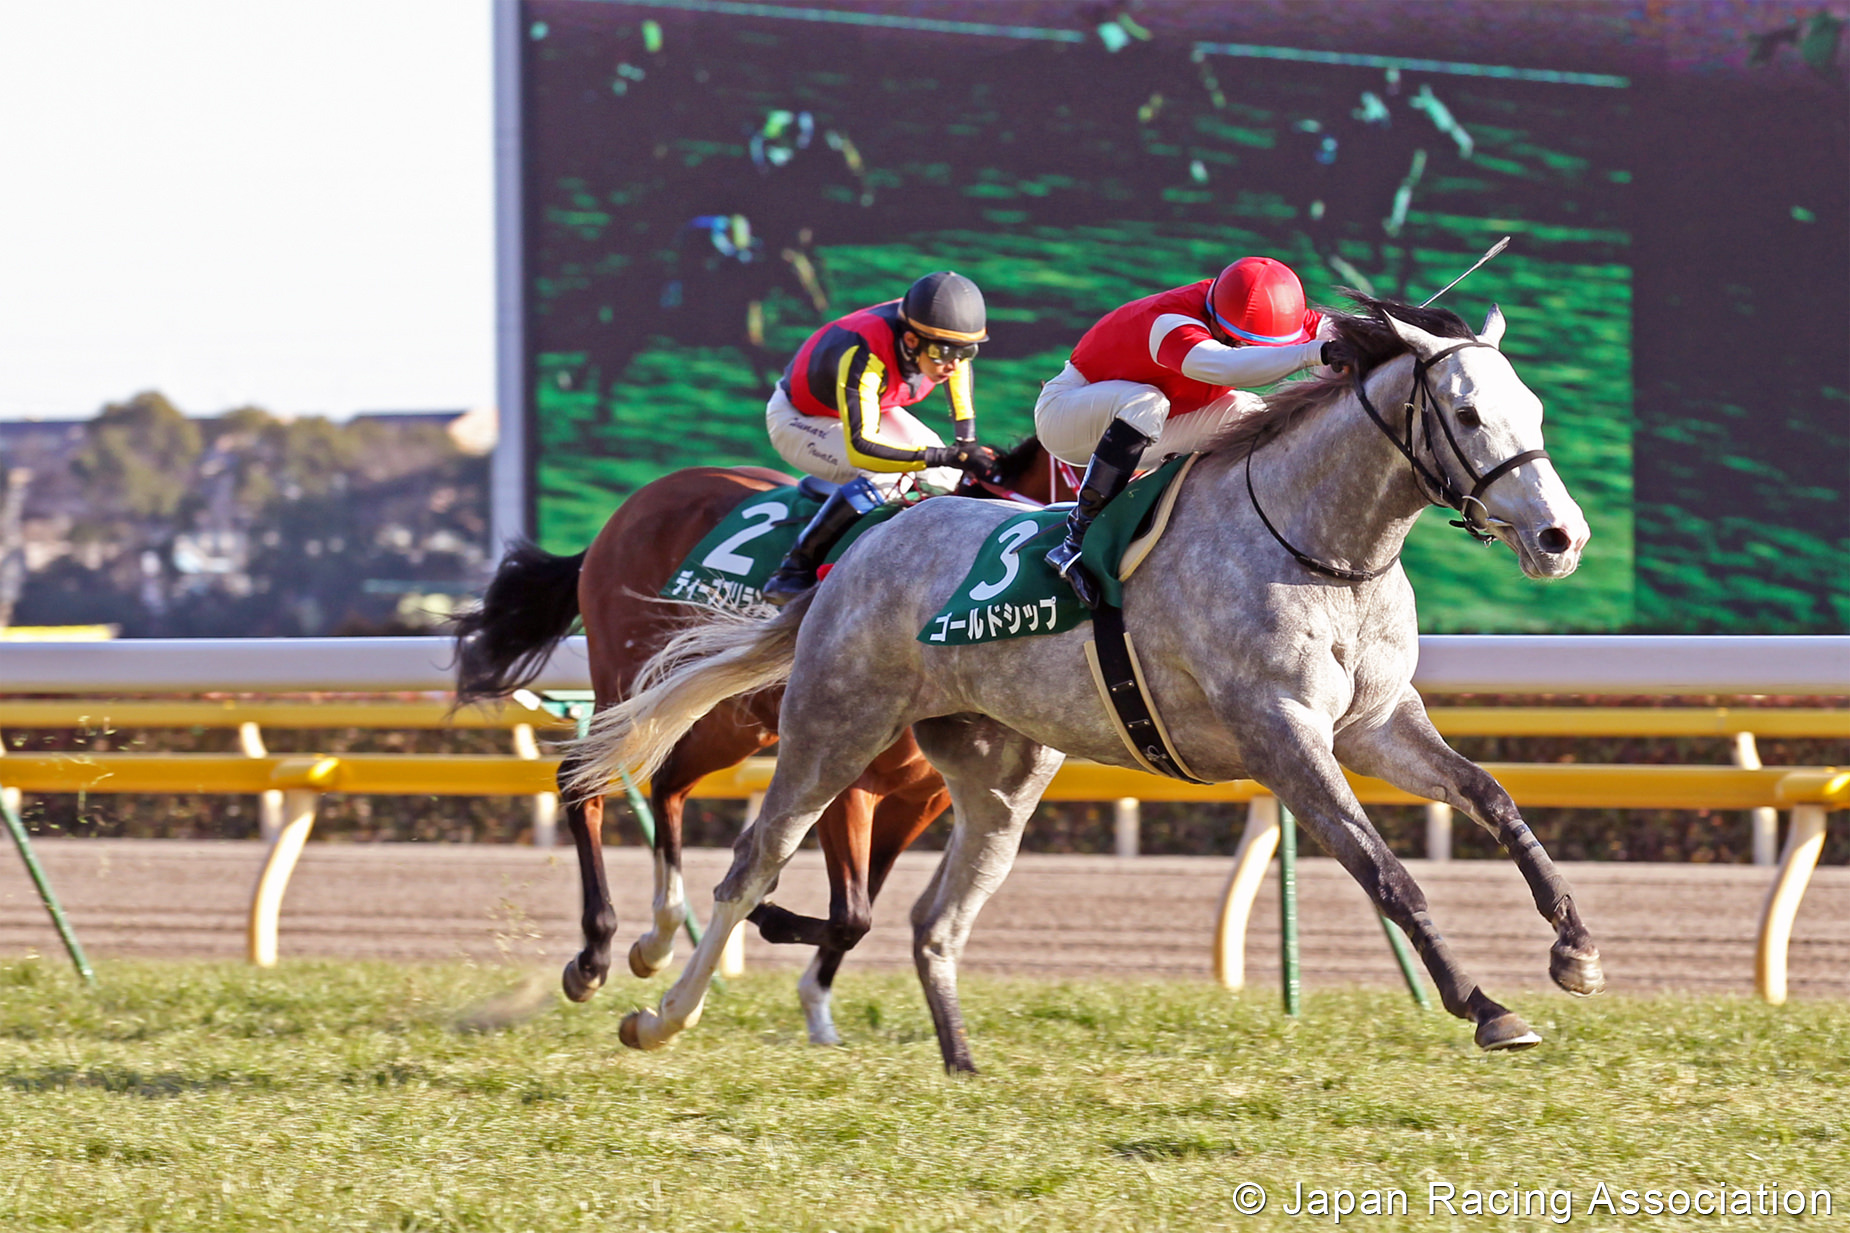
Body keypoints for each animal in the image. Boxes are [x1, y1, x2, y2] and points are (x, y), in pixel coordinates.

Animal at [453, 436, 1080, 1044]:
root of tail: (630, 508)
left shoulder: (919, 799)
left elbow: (861, 909)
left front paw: (817, 1010)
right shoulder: (848, 772)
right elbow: (851, 914)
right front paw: (766, 916)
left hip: (731, 718)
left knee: (670, 784)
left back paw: (657, 939)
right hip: (631, 680)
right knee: (583, 780)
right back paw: (594, 955)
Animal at [577, 296, 1605, 1066]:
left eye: (1537, 412)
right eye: (1466, 415)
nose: (1562, 537)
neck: (1321, 546)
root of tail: (865, 544)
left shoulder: (1377, 721)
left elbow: (1493, 797)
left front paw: (1577, 948)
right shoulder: (1282, 734)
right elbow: (1386, 872)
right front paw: (1484, 1003)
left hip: (998, 778)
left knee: (933, 917)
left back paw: (962, 1064)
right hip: (833, 727)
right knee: (748, 861)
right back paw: (655, 1007)